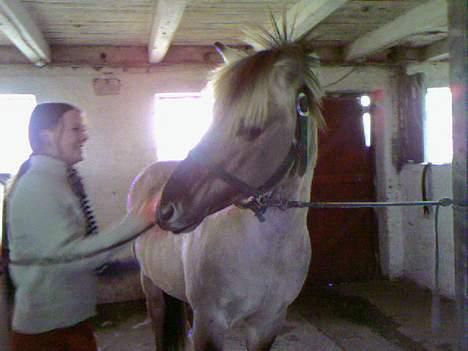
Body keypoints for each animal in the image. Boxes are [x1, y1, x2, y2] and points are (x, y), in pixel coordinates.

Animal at [130, 21, 324, 351]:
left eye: (252, 129)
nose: (166, 210)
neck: (268, 250)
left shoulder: (267, 324)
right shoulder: (209, 325)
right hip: (152, 289)